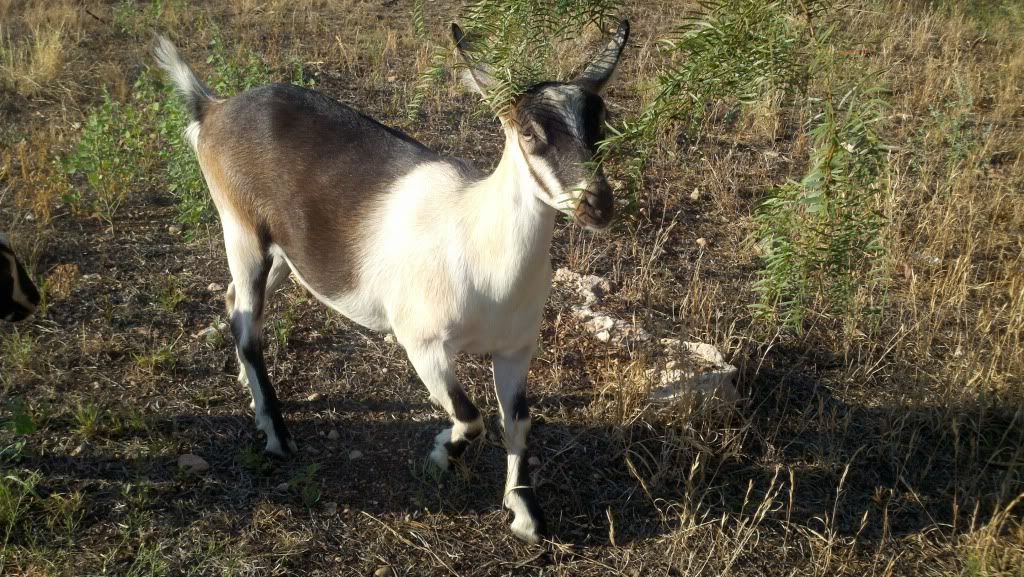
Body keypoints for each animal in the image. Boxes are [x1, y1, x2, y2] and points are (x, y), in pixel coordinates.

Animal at [154, 21, 629, 543]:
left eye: (600, 123)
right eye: (528, 131)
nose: (597, 205)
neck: (477, 245)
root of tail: (213, 108)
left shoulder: (515, 349)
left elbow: (518, 423)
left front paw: (524, 515)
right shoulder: (421, 343)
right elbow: (472, 418)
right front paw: (440, 455)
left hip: (283, 253)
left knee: (233, 302)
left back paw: (249, 390)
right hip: (241, 230)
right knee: (246, 323)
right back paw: (277, 435)